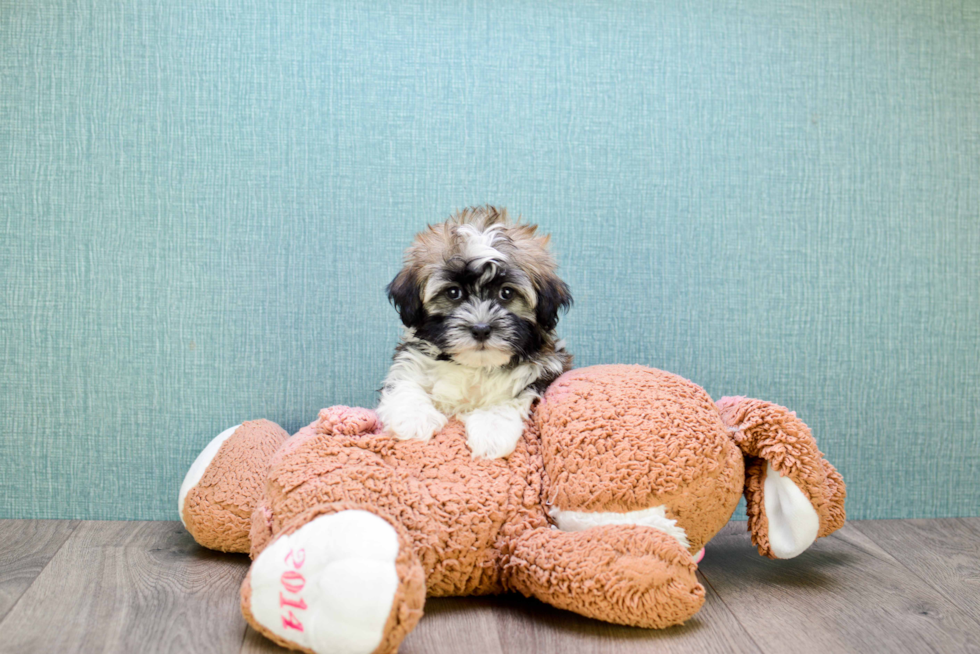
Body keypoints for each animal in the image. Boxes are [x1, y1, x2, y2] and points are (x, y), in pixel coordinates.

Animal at [376, 208, 576, 458]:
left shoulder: (544, 370)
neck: (475, 366)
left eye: (506, 293)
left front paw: (492, 430)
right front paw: (415, 419)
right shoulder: (411, 360)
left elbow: (513, 395)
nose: (481, 329)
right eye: (454, 293)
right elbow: (404, 382)